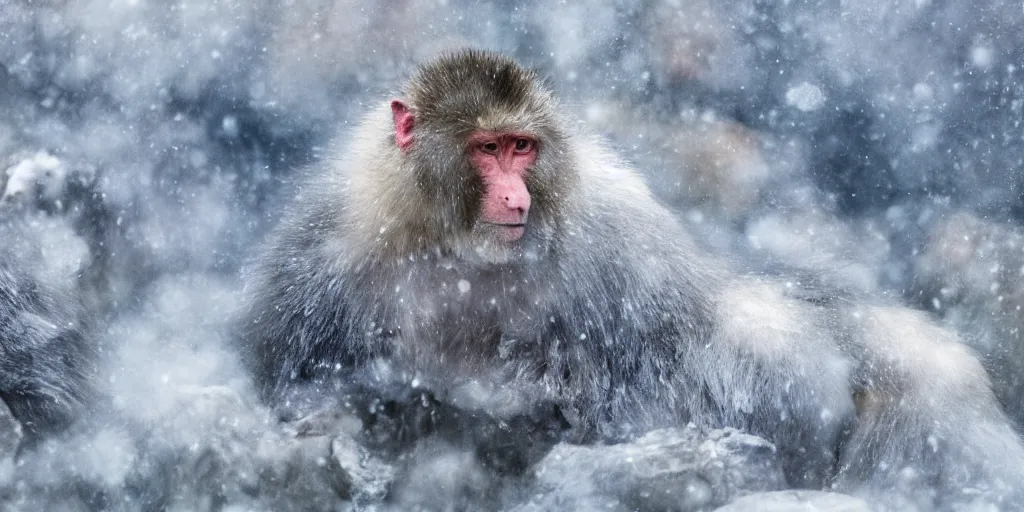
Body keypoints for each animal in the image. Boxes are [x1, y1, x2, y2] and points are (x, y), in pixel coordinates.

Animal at [241, 48, 1024, 507]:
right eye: (487, 149)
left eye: (524, 149)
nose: (516, 199)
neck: (456, 247)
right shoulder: (323, 255)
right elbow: (298, 387)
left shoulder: (618, 258)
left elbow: (627, 408)